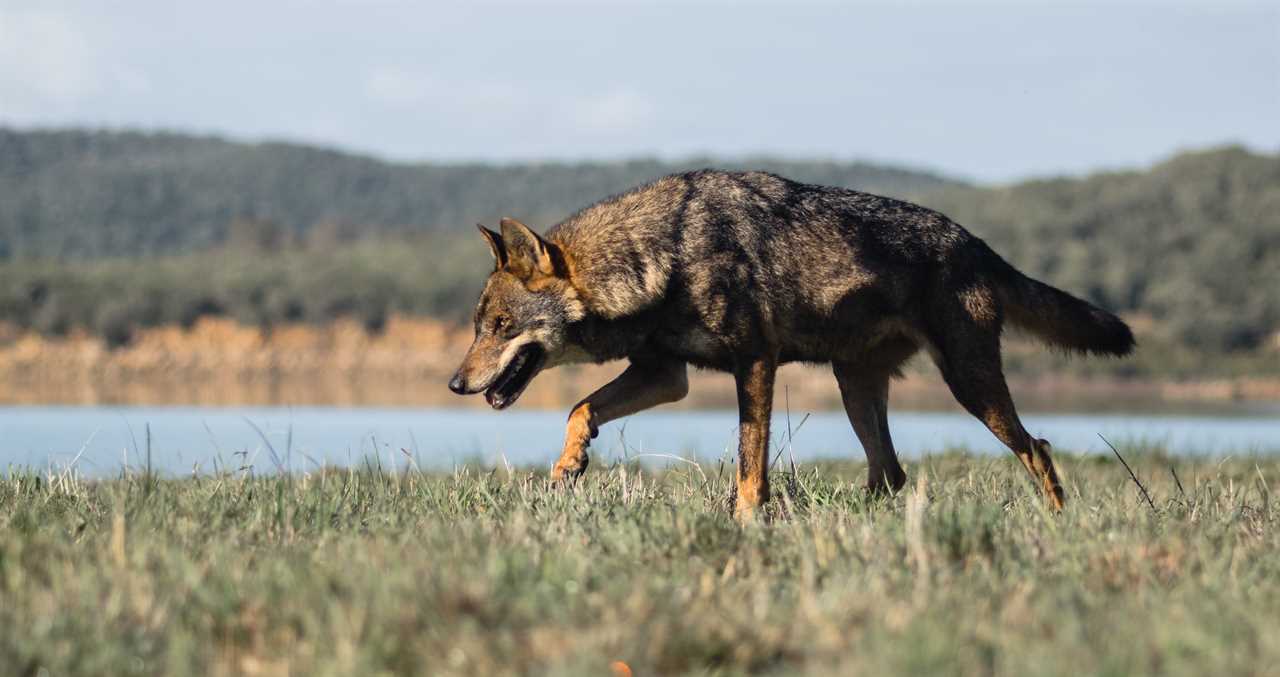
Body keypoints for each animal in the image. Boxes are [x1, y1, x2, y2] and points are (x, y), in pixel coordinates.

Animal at [448, 170, 1134, 519]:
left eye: (500, 326)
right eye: (480, 325)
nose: (455, 384)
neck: (661, 254)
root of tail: (977, 244)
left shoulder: (754, 363)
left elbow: (750, 468)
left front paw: (748, 526)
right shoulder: (667, 375)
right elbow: (580, 407)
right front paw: (570, 463)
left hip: (970, 386)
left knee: (1037, 449)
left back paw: (1058, 527)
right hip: (856, 390)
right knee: (891, 474)